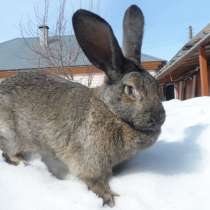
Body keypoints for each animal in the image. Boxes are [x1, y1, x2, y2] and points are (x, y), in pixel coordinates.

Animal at [0, 4, 165, 207]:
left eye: (157, 86)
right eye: (130, 90)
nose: (158, 117)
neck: (110, 111)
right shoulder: (89, 161)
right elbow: (94, 180)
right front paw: (108, 198)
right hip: (12, 135)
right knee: (9, 153)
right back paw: (24, 163)